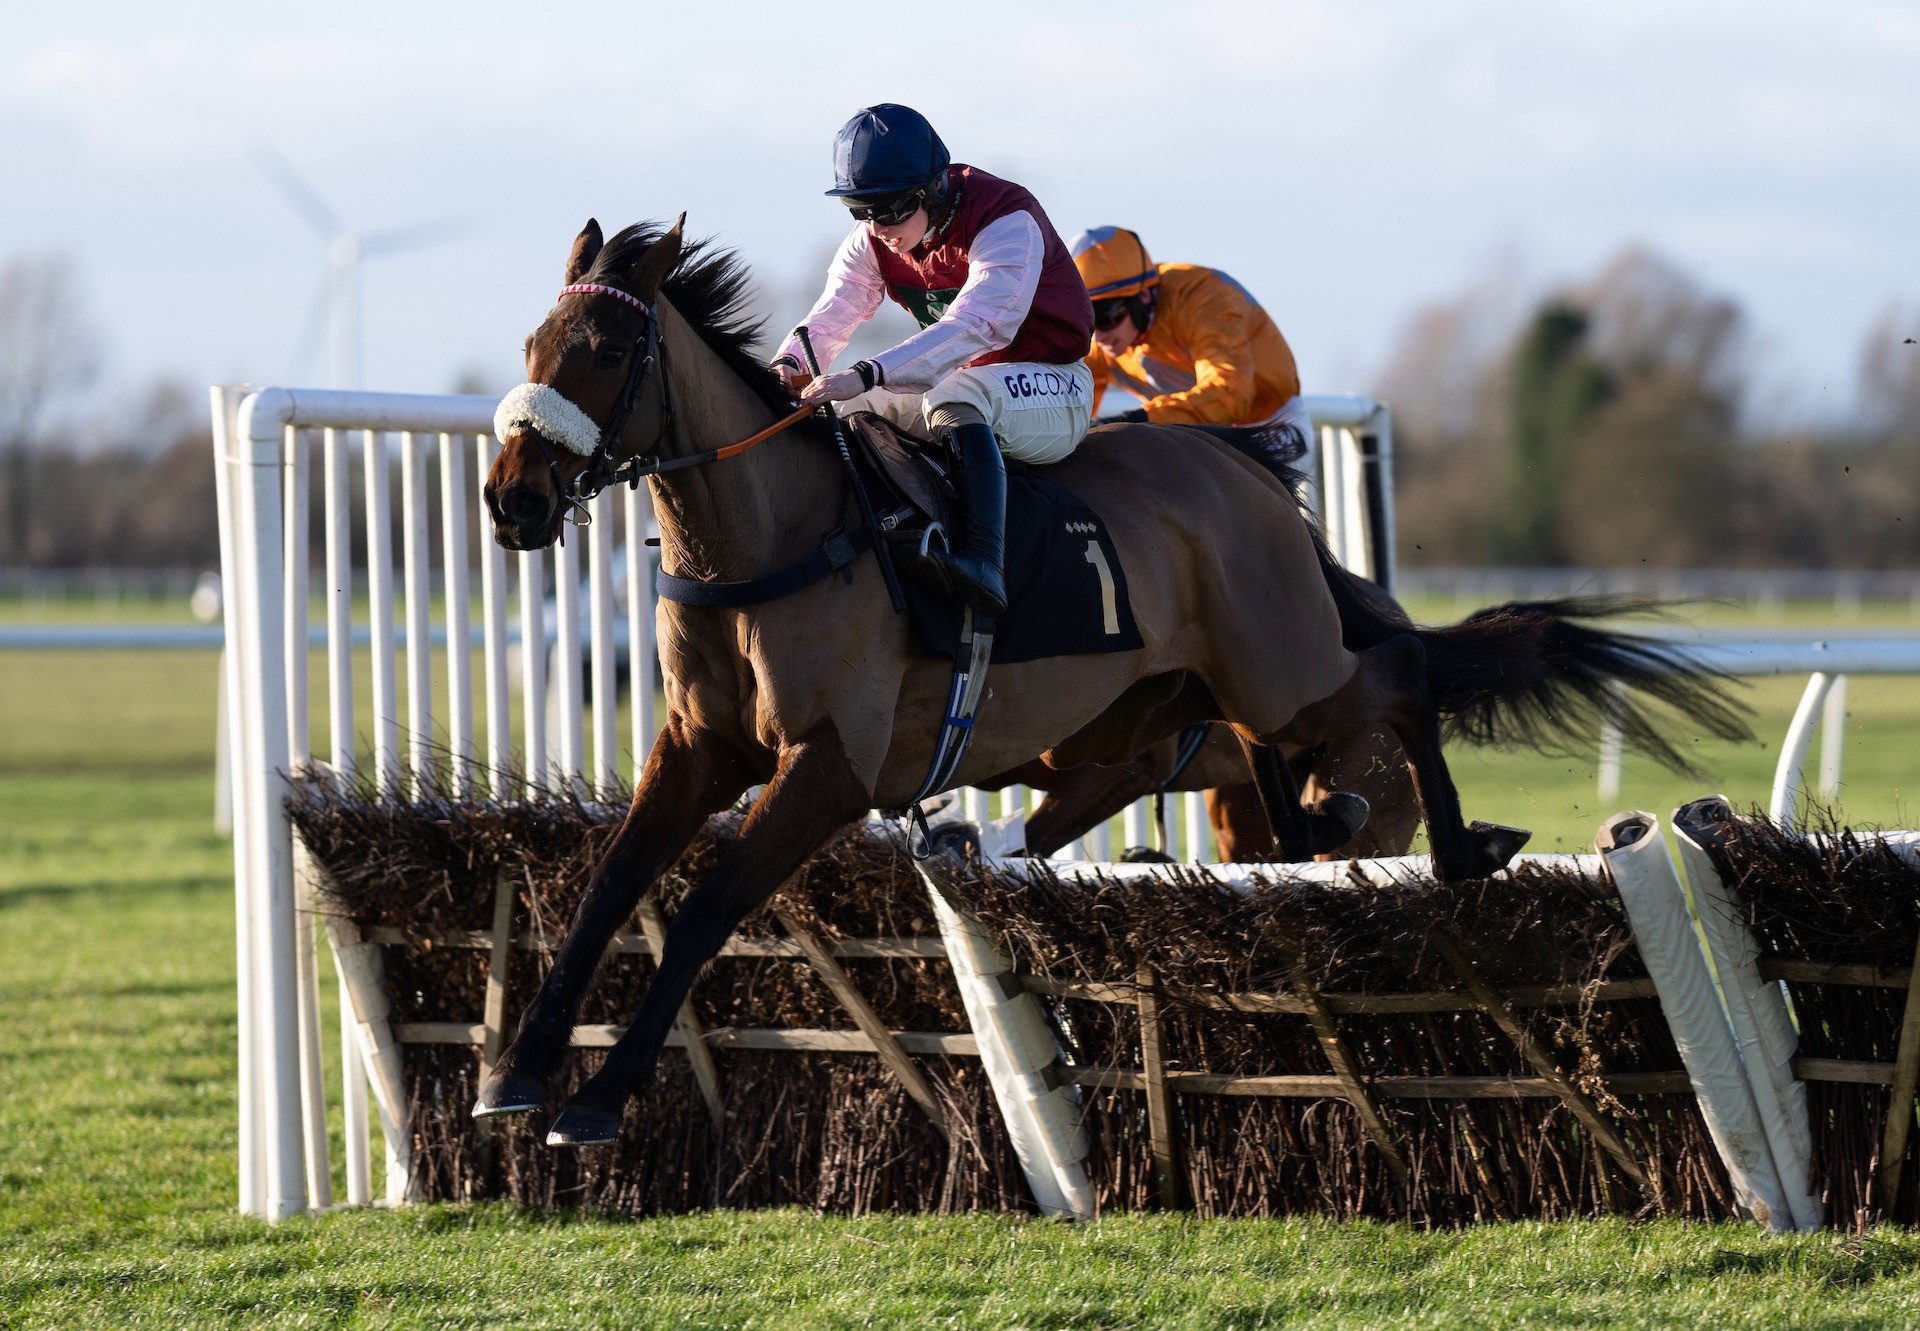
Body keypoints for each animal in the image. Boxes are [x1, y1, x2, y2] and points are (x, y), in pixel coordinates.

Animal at [476, 217, 1743, 1144]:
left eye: (604, 352)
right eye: (531, 345)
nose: (513, 500)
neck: (773, 536)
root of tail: (1247, 478)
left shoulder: (827, 770)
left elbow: (702, 909)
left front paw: (597, 1095)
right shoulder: (697, 748)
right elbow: (609, 882)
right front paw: (516, 1071)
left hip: (1283, 672)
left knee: (1400, 671)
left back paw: (1459, 846)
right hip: (1172, 718)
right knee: (1288, 796)